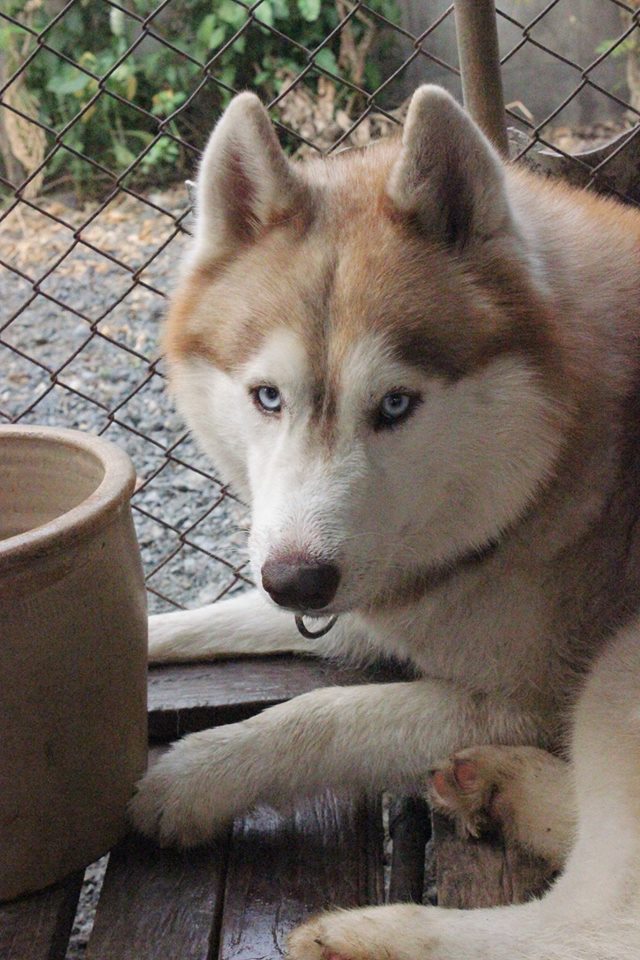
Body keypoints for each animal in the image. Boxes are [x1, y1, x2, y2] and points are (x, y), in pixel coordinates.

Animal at [129, 85, 640, 958]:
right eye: (268, 397)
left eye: (396, 404)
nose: (299, 580)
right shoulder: (367, 593)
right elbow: (219, 617)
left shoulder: (533, 696)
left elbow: (325, 714)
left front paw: (196, 774)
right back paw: (507, 788)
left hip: (616, 670)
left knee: (590, 923)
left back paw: (364, 933)